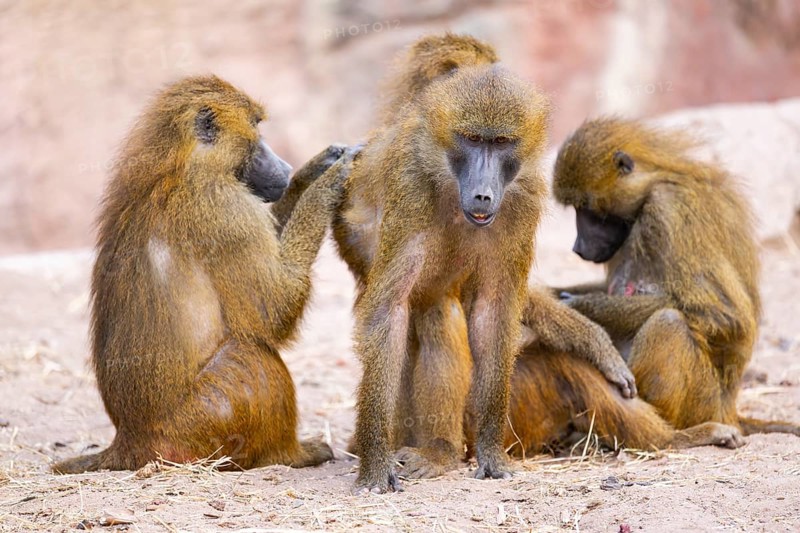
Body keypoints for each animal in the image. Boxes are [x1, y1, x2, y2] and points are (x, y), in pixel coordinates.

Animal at [52, 75, 358, 474]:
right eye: (256, 127)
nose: (285, 167)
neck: (183, 165)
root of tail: (129, 440)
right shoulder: (224, 208)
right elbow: (273, 311)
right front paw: (327, 182)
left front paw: (316, 168)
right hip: (199, 424)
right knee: (250, 356)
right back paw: (294, 454)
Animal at [508, 116, 799, 449]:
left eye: (590, 211)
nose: (578, 248)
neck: (651, 187)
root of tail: (730, 409)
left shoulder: (669, 210)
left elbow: (725, 316)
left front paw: (580, 306)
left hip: (704, 402)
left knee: (668, 322)